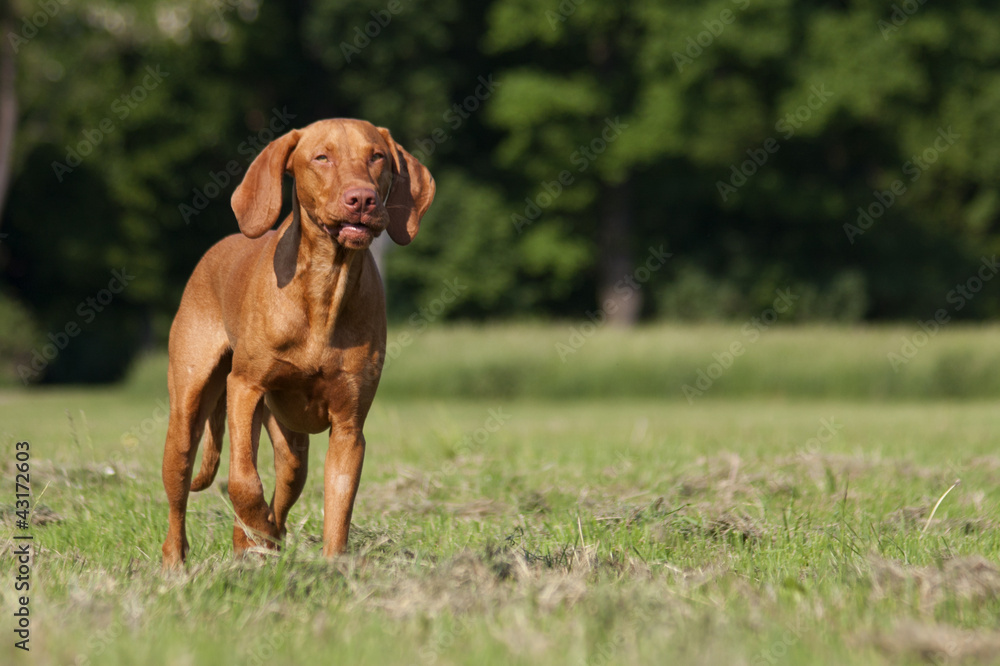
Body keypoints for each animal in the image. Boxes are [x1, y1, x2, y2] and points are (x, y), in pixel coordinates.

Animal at [160, 118, 434, 564]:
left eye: (377, 156)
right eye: (321, 157)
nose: (362, 198)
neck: (325, 285)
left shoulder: (349, 427)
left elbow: (337, 509)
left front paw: (330, 567)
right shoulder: (245, 387)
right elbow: (243, 483)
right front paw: (258, 527)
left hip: (291, 451)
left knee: (285, 485)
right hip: (189, 412)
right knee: (182, 492)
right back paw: (178, 562)